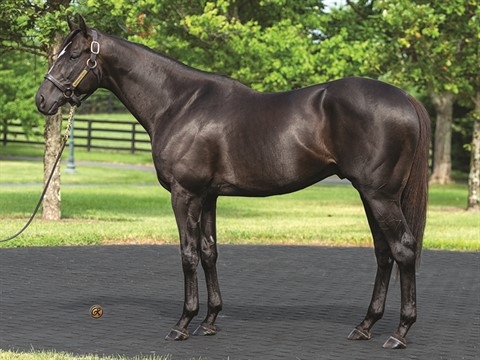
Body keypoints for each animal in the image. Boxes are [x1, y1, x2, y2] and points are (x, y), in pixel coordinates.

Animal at [35, 16, 430, 348]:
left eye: (73, 55)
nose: (42, 99)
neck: (179, 104)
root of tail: (405, 97)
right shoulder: (208, 196)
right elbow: (209, 252)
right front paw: (209, 321)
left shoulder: (184, 194)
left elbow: (188, 254)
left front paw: (183, 323)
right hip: (370, 195)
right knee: (384, 253)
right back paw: (365, 325)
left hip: (379, 196)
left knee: (403, 249)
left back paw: (399, 332)